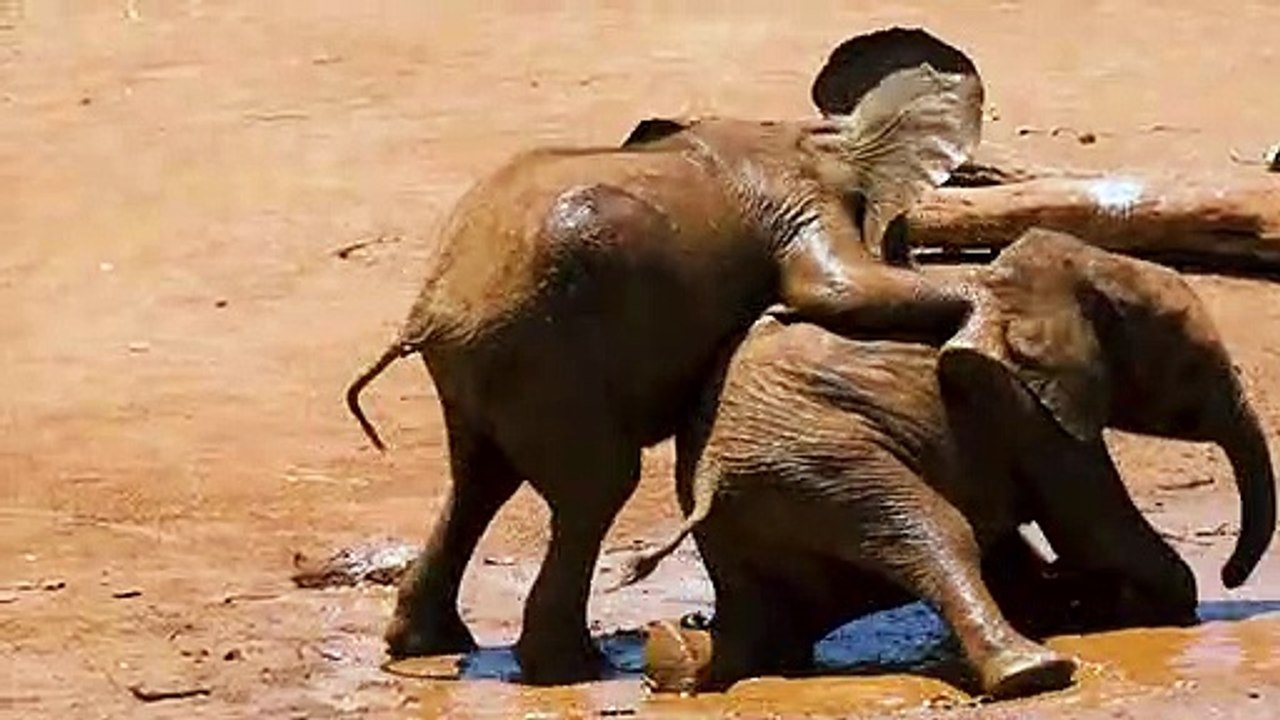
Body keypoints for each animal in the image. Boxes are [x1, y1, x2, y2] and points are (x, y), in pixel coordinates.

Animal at [344, 28, 986, 683]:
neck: (819, 132)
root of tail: (430, 313)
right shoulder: (795, 193)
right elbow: (837, 289)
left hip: (484, 365)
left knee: (479, 482)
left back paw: (435, 645)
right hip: (545, 358)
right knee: (595, 488)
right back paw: (577, 667)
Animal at [610, 228, 1276, 698]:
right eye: (1190, 369)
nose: (1232, 577)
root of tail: (710, 480)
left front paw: (1093, 598)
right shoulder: (1025, 402)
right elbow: (1095, 529)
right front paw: (1146, 601)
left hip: (751, 514)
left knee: (767, 621)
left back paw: (672, 658)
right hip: (822, 461)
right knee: (936, 532)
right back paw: (1035, 673)